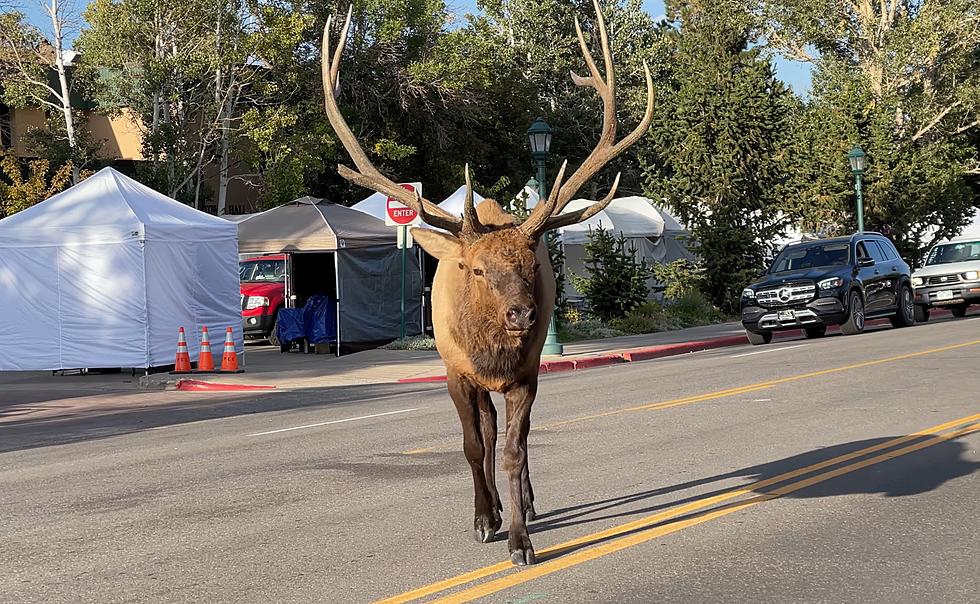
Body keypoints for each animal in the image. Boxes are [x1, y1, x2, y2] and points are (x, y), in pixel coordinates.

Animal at [324, 1, 652, 568]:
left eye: (530, 263)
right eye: (476, 269)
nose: (522, 313)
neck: (491, 354)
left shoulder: (526, 372)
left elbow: (515, 450)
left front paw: (521, 540)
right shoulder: (456, 371)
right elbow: (473, 445)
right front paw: (484, 519)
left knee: (514, 436)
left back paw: (525, 502)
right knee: (486, 429)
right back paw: (493, 506)